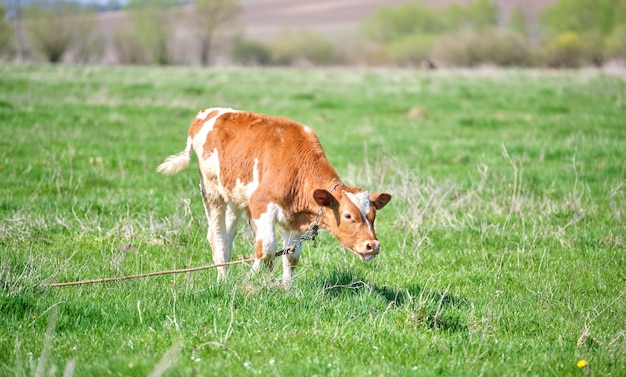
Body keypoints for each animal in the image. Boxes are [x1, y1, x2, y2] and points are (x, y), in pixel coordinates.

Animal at [157, 107, 390, 280]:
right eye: (348, 215)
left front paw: (287, 288)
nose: (373, 245)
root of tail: (206, 113)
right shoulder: (261, 205)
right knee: (217, 236)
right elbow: (267, 248)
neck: (298, 168)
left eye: (373, 216)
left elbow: (291, 256)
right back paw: (222, 278)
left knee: (228, 234)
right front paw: (250, 279)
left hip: (235, 199)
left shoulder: (295, 218)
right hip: (212, 193)